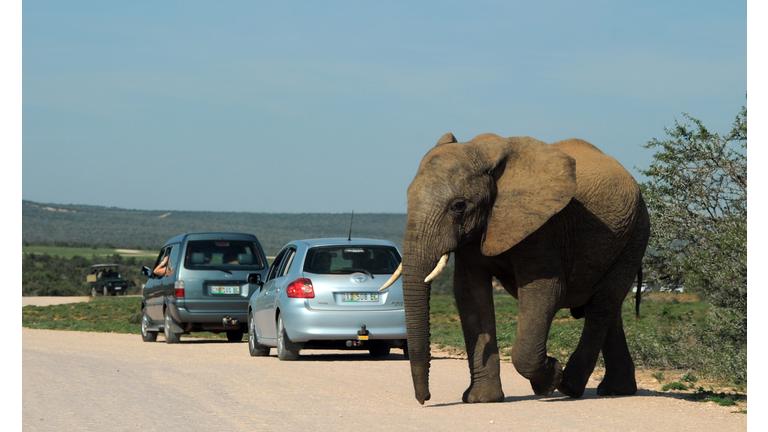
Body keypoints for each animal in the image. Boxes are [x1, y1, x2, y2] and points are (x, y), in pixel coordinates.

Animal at [378, 132, 648, 404]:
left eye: (458, 205)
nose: (425, 399)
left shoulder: (540, 225)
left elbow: (547, 290)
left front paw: (549, 380)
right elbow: (470, 294)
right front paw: (482, 400)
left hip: (635, 234)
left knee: (602, 303)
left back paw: (569, 386)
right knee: (610, 306)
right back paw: (616, 390)